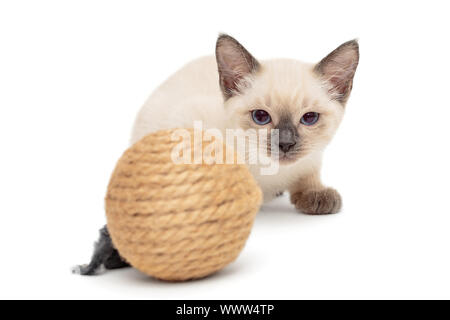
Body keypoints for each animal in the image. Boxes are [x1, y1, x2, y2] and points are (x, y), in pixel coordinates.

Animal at [74, 34, 358, 276]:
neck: (271, 173)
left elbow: (308, 180)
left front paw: (317, 196)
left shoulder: (311, 160)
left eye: (309, 118)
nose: (286, 144)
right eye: (261, 117)